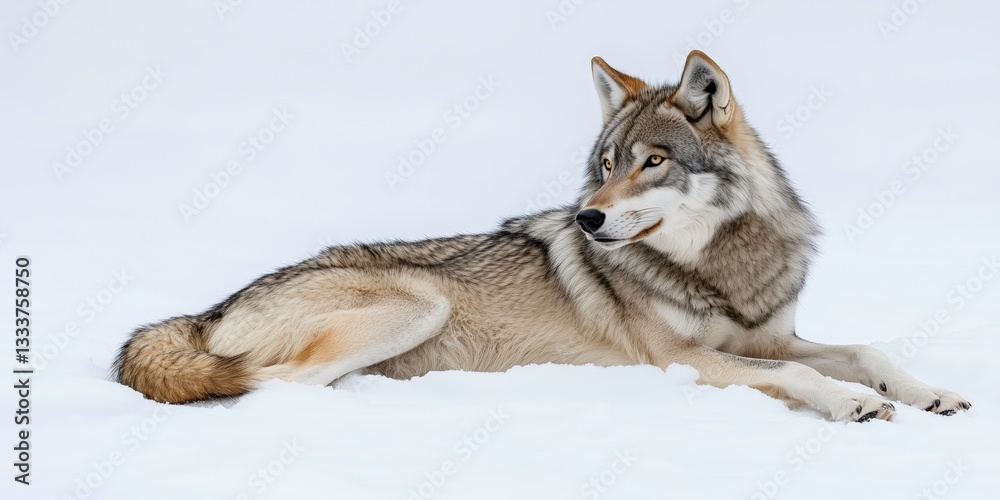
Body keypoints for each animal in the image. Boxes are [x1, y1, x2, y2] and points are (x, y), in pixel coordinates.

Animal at [115, 51, 970, 421]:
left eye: (653, 162)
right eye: (605, 165)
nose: (588, 217)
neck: (720, 267)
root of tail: (207, 312)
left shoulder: (771, 337)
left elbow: (865, 351)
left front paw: (932, 392)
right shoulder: (692, 360)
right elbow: (803, 377)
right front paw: (853, 405)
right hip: (416, 305)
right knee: (273, 386)